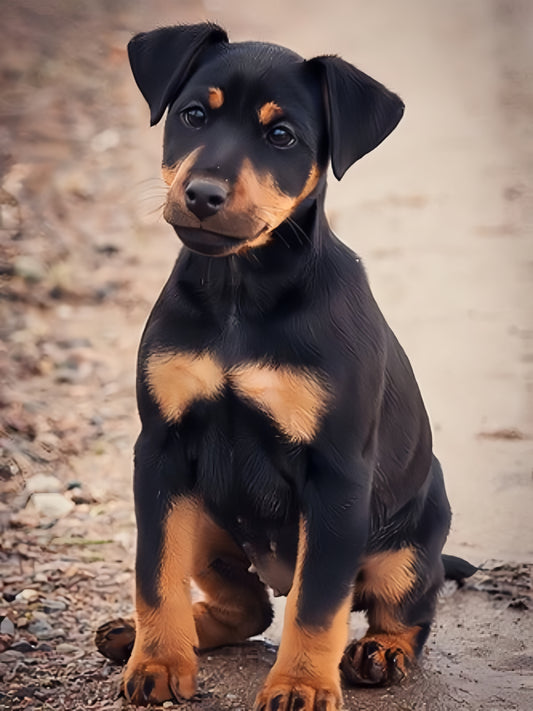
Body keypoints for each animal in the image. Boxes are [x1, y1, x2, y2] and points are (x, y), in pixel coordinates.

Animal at [100, 22, 470, 711]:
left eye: (282, 137)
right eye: (193, 115)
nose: (202, 195)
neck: (240, 295)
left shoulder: (337, 473)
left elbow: (318, 603)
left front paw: (300, 684)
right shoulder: (160, 451)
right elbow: (154, 572)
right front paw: (158, 661)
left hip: (407, 539)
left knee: (407, 606)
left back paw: (380, 653)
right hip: (204, 519)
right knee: (248, 608)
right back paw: (145, 635)